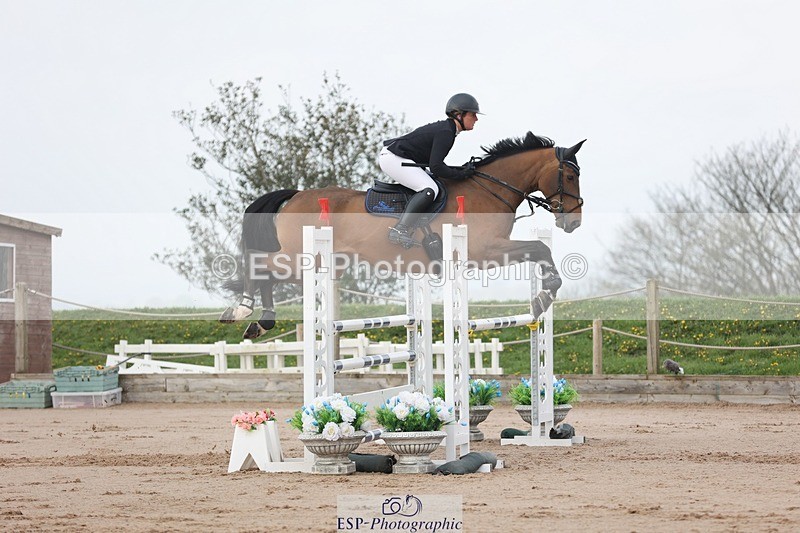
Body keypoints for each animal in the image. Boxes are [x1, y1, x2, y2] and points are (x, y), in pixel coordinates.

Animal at [220, 132, 585, 339]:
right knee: (260, 265)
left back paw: (262, 322)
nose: (573, 222)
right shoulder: (484, 252)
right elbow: (538, 248)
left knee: (268, 273)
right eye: (569, 176)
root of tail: (295, 195)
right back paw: (242, 311)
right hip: (302, 258)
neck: (489, 190)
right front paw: (545, 294)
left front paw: (543, 298)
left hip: (319, 263)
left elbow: (539, 251)